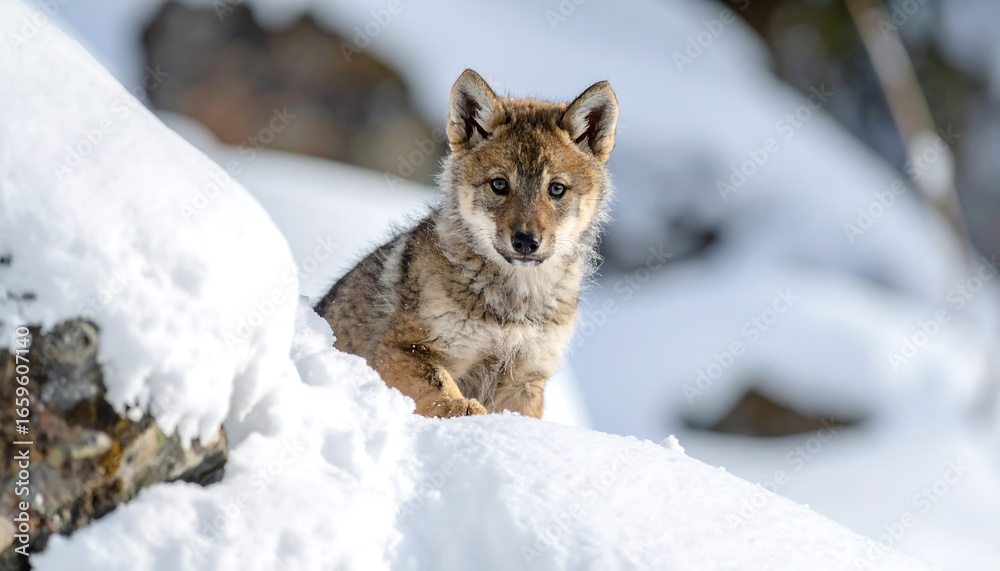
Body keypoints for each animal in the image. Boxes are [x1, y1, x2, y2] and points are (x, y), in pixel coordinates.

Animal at [314, 69, 618, 418]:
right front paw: (463, 412)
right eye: (499, 184)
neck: (513, 309)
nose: (526, 241)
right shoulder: (406, 348)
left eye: (556, 189)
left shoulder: (525, 379)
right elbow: (441, 389)